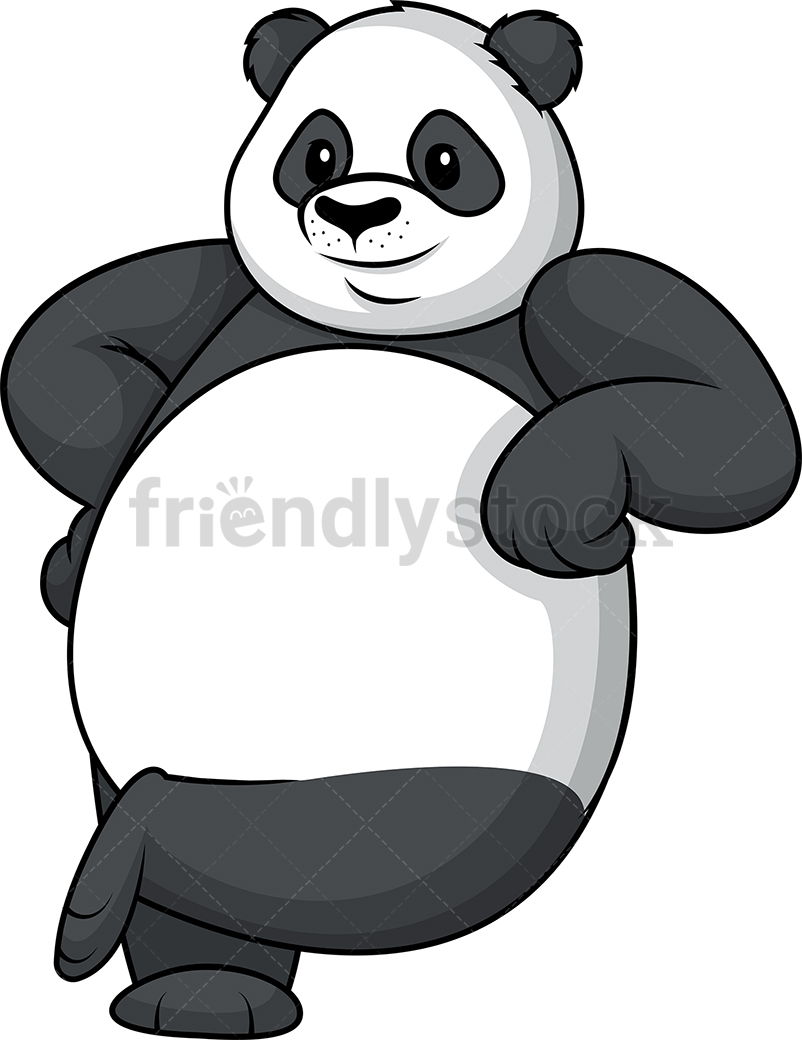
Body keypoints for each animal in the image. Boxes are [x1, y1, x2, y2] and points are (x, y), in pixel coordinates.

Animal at [2, 4, 798, 1037]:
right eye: (317, 152)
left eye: (446, 159)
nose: (353, 214)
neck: (382, 324)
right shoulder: (223, 287)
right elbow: (64, 351)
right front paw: (75, 546)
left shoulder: (576, 295)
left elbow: (732, 430)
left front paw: (546, 500)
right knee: (228, 873)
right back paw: (196, 985)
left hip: (452, 791)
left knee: (333, 840)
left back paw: (145, 870)